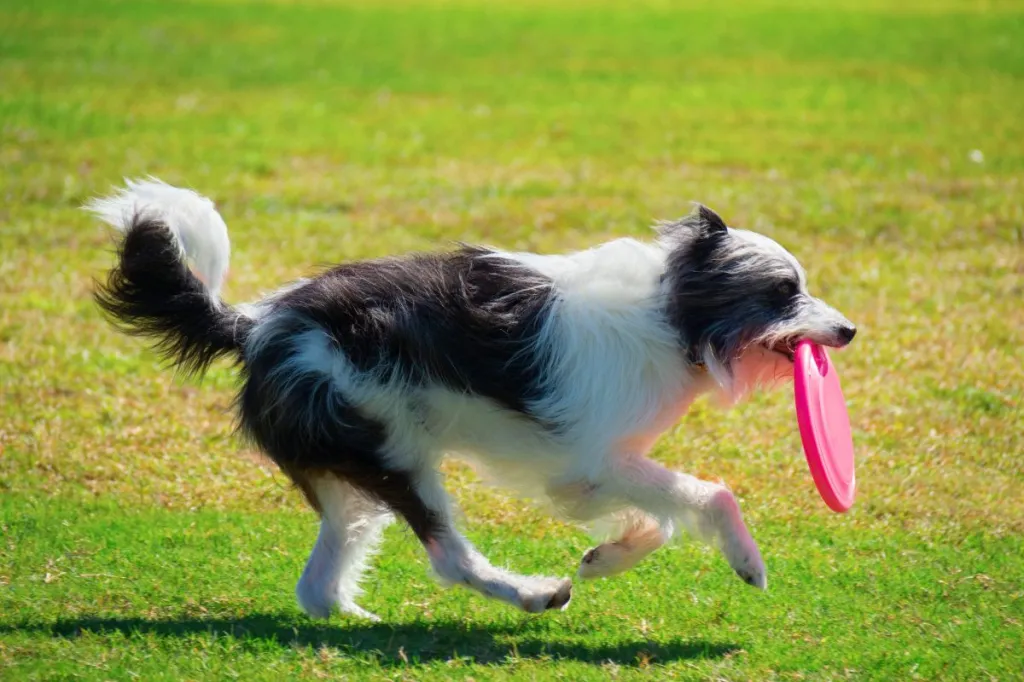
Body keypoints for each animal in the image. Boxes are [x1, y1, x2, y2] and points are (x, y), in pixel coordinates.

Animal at [88, 178, 856, 618]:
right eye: (782, 291)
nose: (849, 331)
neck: (671, 315)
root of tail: (257, 325)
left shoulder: (586, 473)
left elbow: (657, 520)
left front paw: (609, 555)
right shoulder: (593, 461)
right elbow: (711, 495)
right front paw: (746, 560)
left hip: (354, 476)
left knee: (320, 583)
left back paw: (353, 621)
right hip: (394, 454)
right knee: (448, 559)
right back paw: (532, 594)